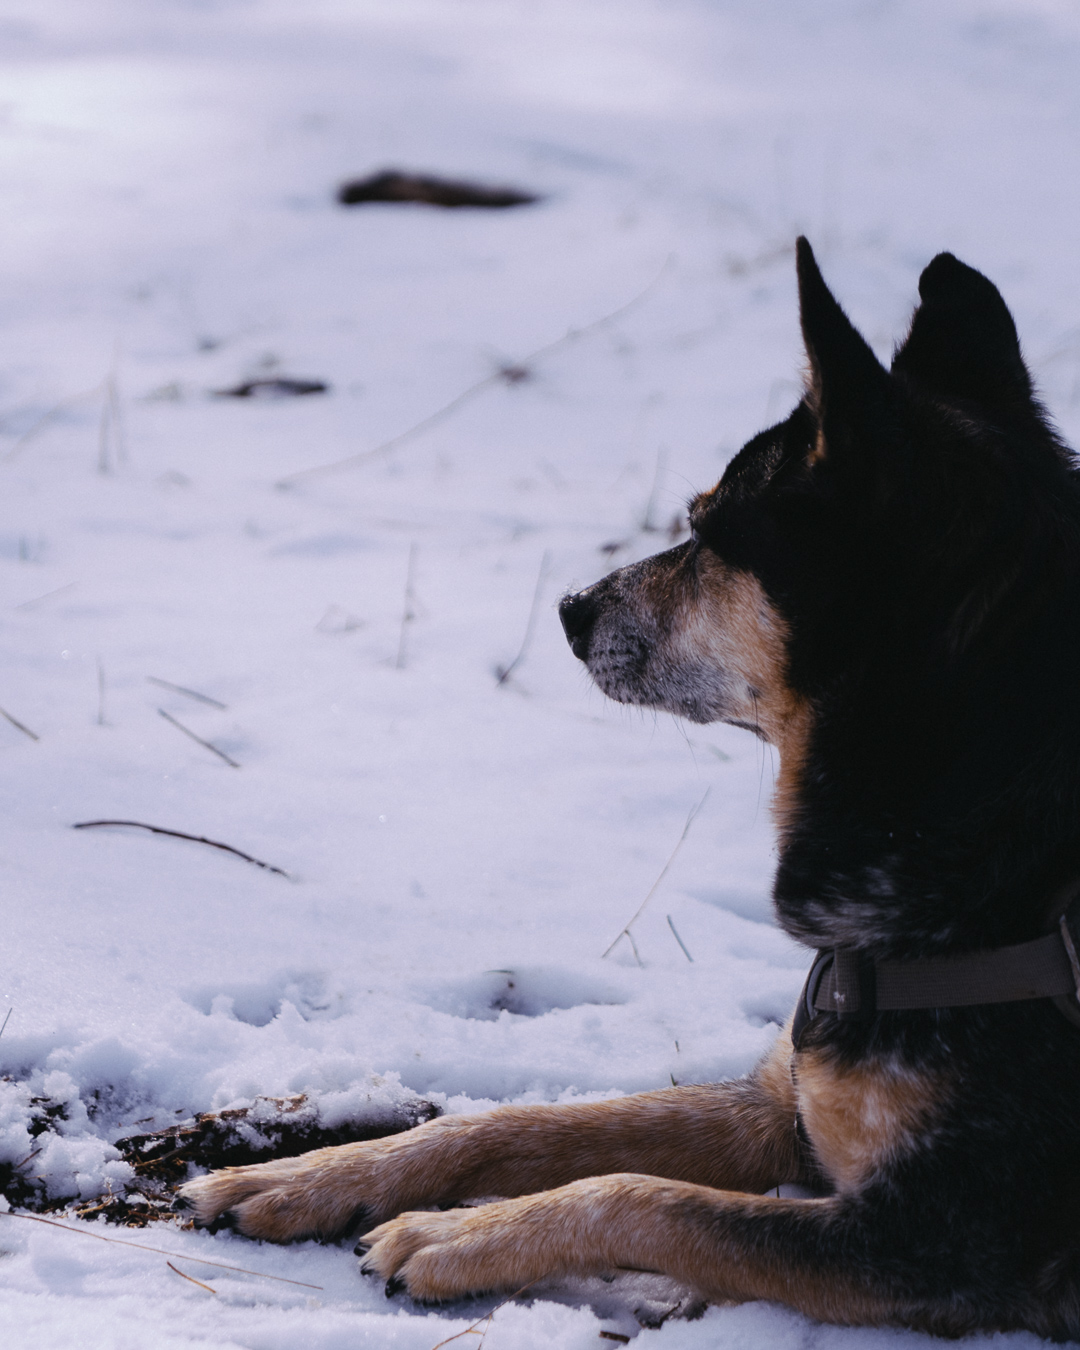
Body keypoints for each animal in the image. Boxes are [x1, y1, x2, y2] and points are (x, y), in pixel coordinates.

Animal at [179, 239, 1080, 1339]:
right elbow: (535, 1121)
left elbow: (647, 1199)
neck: (971, 790)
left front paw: (455, 1234)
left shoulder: (938, 1242)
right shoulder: (779, 1104)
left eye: (710, 534)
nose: (570, 607)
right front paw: (314, 1174)